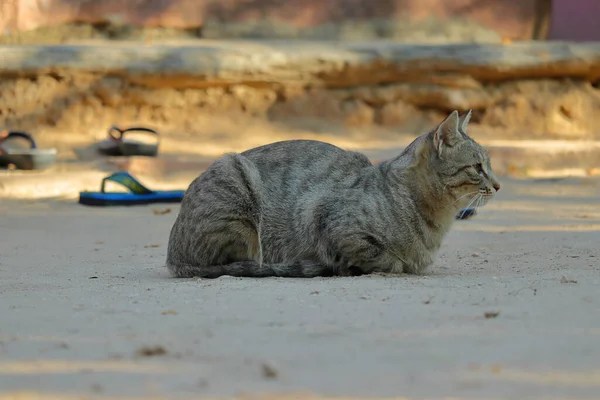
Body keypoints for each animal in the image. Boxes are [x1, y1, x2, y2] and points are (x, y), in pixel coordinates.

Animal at [166, 109, 500, 278]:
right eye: (478, 167)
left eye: (490, 165)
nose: (498, 185)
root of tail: (173, 256)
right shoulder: (325, 218)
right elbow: (388, 259)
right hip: (236, 185)